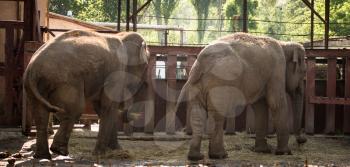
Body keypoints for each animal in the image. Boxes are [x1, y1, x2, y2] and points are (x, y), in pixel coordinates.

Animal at [23, 30, 149, 159]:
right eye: (146, 66)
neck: (122, 36)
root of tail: (33, 69)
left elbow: (102, 108)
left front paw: (117, 150)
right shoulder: (116, 72)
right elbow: (108, 107)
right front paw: (100, 154)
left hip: (33, 86)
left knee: (41, 115)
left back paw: (42, 156)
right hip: (67, 81)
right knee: (74, 110)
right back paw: (59, 151)